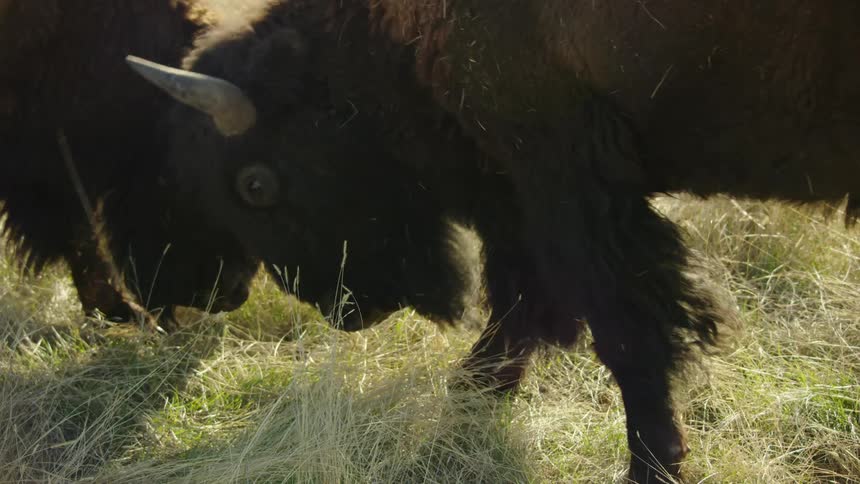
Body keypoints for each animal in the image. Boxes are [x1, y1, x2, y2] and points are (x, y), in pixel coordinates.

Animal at [129, 0, 860, 481]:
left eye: (255, 184)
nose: (344, 310)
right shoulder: (517, 188)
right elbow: (521, 304)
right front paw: (470, 397)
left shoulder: (562, 176)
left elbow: (623, 332)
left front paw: (654, 462)